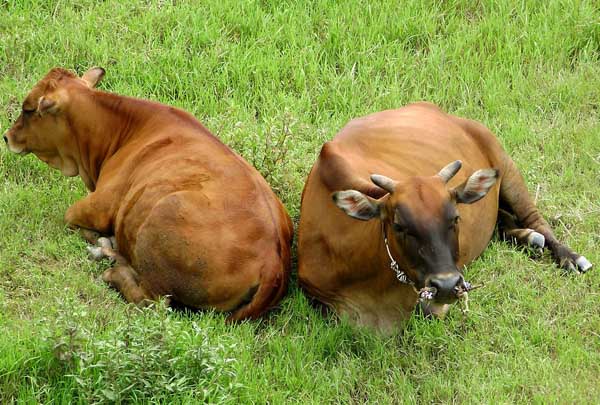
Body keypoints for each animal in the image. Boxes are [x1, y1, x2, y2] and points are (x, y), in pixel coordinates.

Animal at [3, 65, 294, 318]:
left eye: (28, 109)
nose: (7, 136)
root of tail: (273, 262)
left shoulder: (98, 206)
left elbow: (70, 217)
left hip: (164, 218)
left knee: (153, 301)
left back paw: (112, 269)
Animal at [298, 102, 592, 332]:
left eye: (455, 219)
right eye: (399, 226)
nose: (448, 285)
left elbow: (429, 310)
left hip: (506, 164)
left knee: (535, 218)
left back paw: (569, 256)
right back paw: (528, 237)